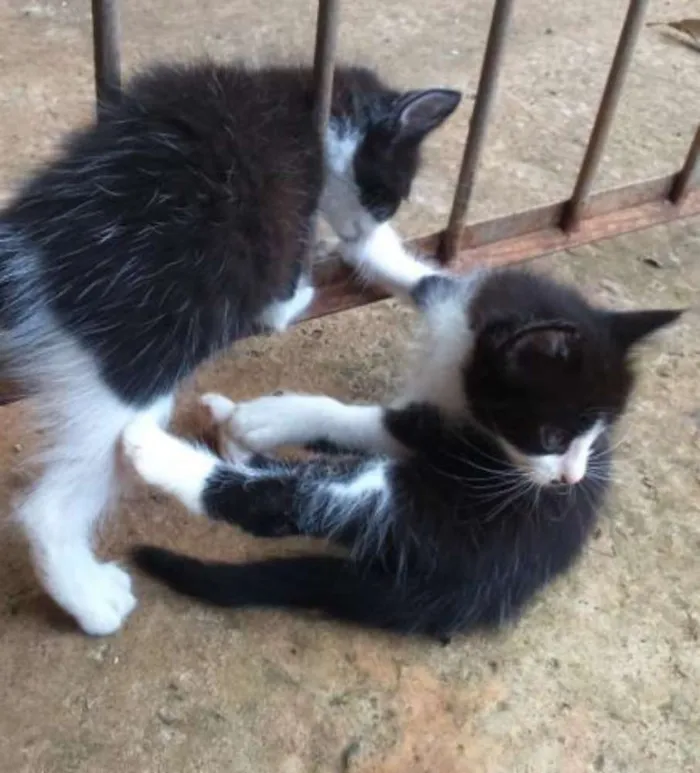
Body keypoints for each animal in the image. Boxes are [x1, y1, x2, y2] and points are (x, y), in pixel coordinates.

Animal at [0, 57, 460, 632]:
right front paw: (313, 282)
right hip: (138, 353)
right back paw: (88, 598)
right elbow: (283, 297)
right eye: (386, 197)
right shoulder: (283, 223)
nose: (374, 223)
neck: (301, 99)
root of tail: (33, 247)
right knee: (51, 506)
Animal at [123, 266, 680, 640]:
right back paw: (228, 433)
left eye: (586, 437)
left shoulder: (444, 436)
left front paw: (271, 416)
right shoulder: (460, 304)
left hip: (435, 515)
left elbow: (356, 421)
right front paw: (363, 235)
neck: (458, 361)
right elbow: (422, 278)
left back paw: (162, 449)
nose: (570, 479)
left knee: (287, 503)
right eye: (554, 438)